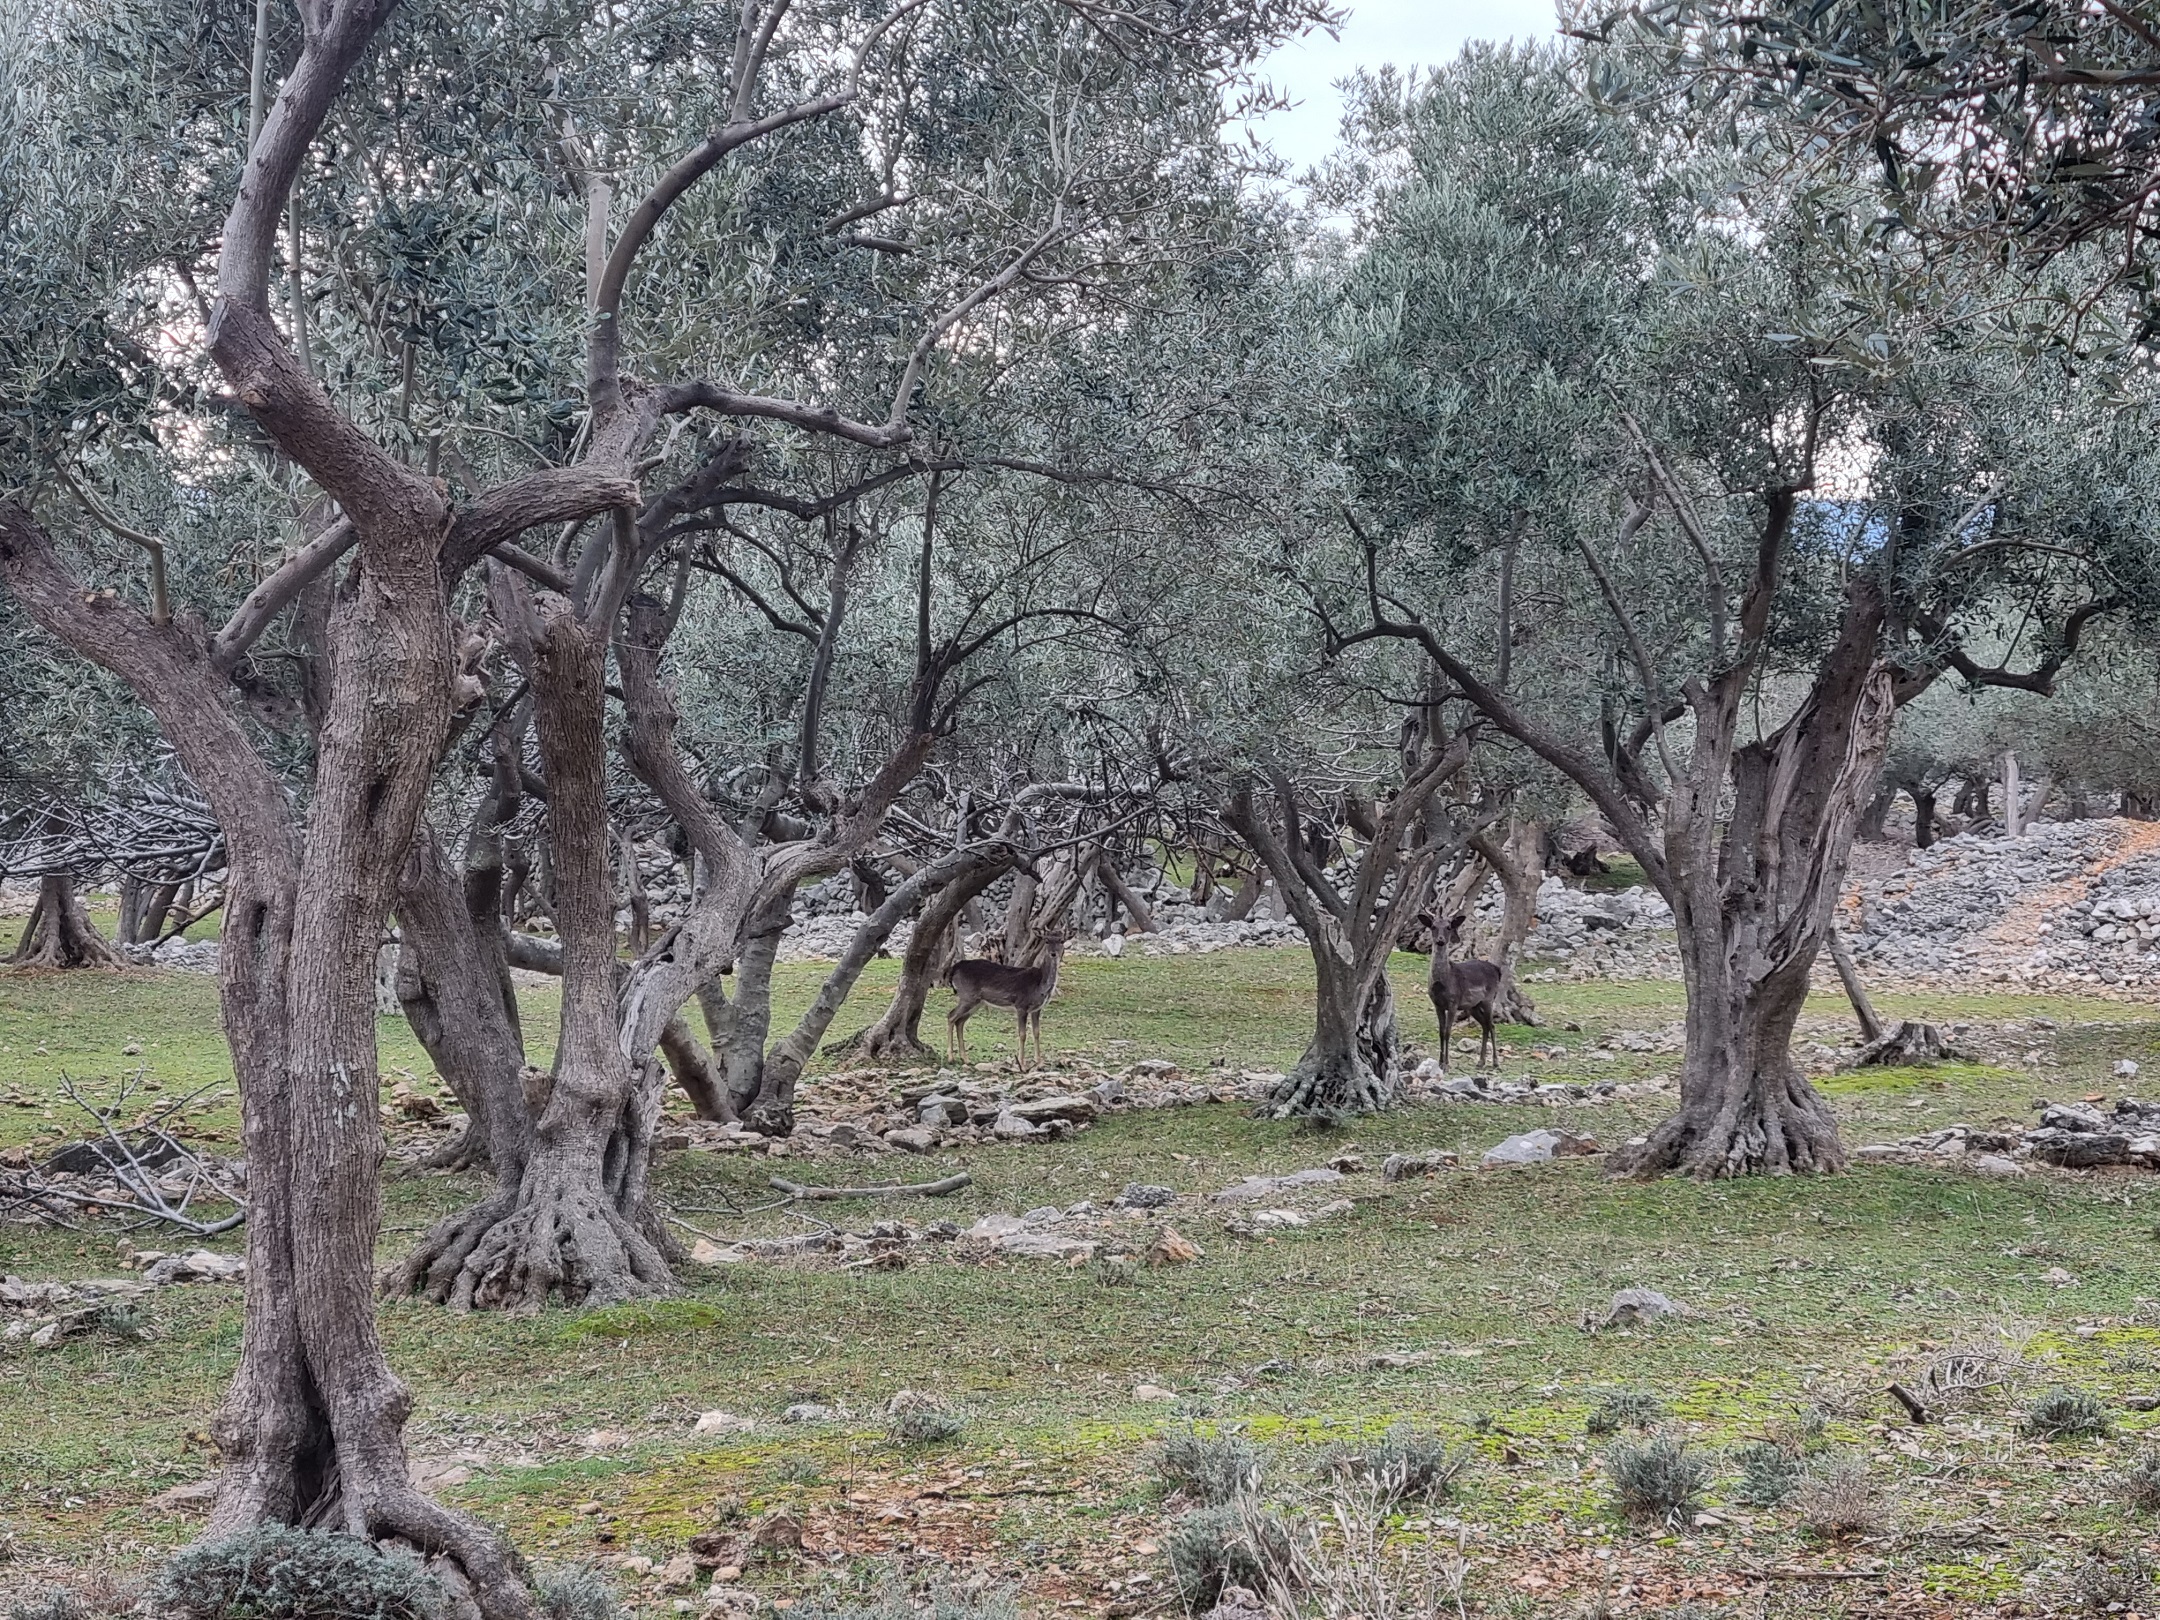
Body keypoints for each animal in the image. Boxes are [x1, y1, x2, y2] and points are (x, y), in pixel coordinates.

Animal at [950, 924, 1075, 1080]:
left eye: (1061, 941)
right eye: (1046, 940)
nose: (1053, 954)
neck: (1040, 985)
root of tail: (954, 969)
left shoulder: (1037, 1009)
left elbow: (1037, 1032)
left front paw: (1039, 1063)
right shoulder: (1021, 1005)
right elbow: (1022, 1034)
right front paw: (1022, 1065)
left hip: (976, 1002)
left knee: (960, 1021)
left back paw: (965, 1058)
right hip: (967, 996)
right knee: (951, 1016)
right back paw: (951, 1057)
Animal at [1416, 915, 1503, 1080]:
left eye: (1449, 927)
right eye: (1433, 926)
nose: (1441, 940)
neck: (1443, 983)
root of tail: (1497, 970)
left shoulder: (1453, 1002)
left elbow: (1448, 1031)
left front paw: (1446, 1065)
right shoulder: (1437, 1004)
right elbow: (1441, 1031)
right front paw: (1440, 1062)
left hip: (1489, 999)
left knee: (1492, 1026)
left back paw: (1495, 1062)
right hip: (1474, 1005)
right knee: (1485, 1026)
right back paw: (1481, 1062)